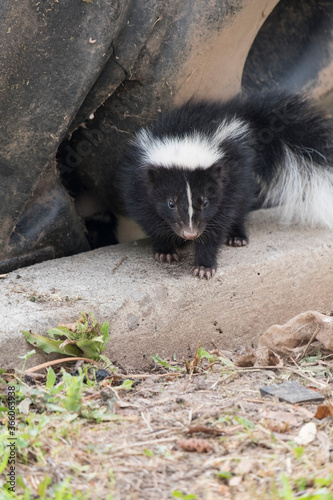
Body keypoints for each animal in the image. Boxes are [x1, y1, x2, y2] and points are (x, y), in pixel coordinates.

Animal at [118, 92, 332, 280]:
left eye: (205, 202)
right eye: (171, 203)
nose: (190, 233)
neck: (183, 140)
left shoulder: (228, 181)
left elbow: (217, 224)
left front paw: (204, 266)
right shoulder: (138, 182)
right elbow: (150, 217)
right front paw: (166, 250)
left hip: (243, 174)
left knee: (241, 206)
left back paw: (237, 237)